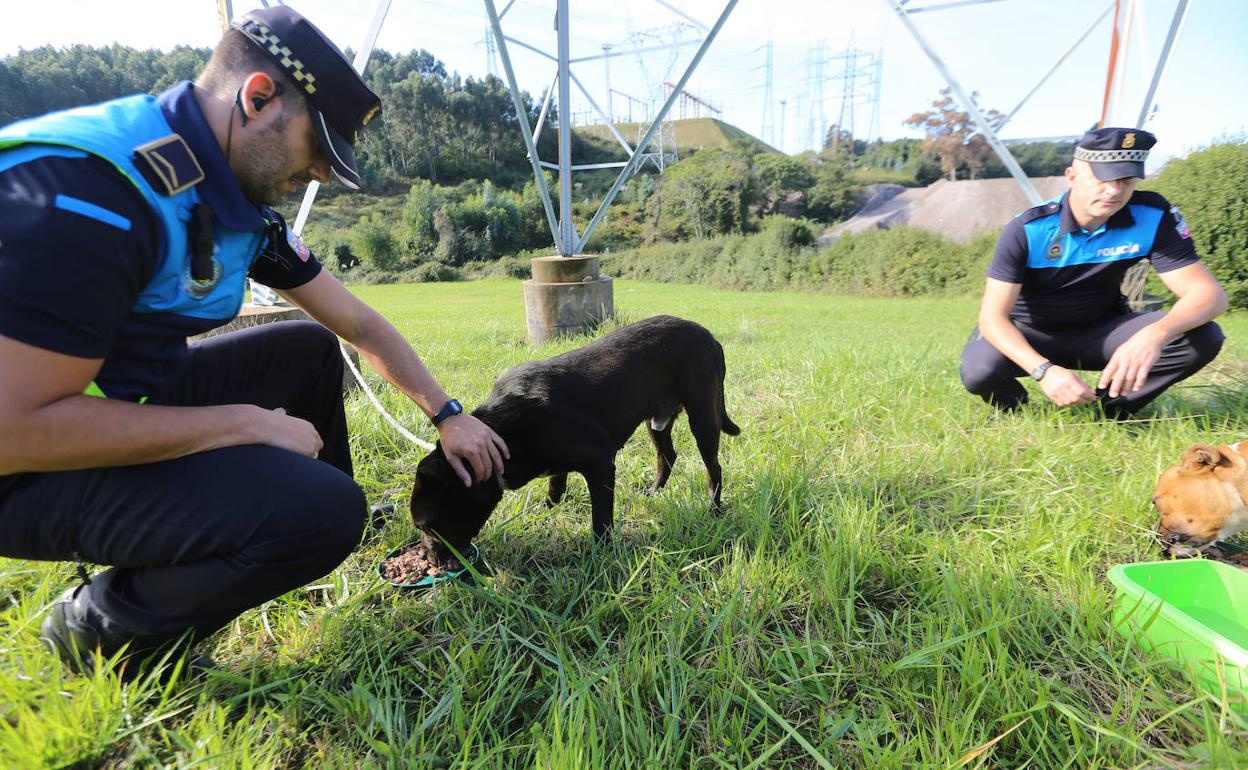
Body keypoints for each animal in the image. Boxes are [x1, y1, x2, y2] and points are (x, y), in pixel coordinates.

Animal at [409, 311, 738, 559]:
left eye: (426, 527)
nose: (428, 558)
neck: (505, 432)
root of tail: (710, 336)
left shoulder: (600, 462)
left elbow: (601, 518)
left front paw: (600, 553)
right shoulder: (558, 462)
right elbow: (556, 484)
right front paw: (547, 510)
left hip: (702, 416)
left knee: (714, 467)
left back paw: (713, 509)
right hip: (656, 420)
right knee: (667, 455)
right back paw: (654, 491)